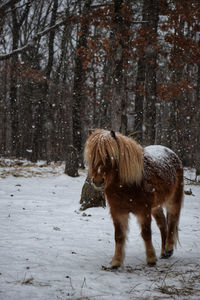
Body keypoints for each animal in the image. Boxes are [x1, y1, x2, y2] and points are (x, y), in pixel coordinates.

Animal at [83, 127, 184, 268]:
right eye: (91, 156)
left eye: (109, 155)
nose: (98, 181)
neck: (126, 186)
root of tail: (171, 152)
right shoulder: (118, 212)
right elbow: (119, 236)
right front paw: (116, 261)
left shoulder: (143, 210)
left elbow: (146, 233)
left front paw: (151, 259)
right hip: (156, 207)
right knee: (163, 225)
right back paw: (164, 252)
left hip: (173, 200)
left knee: (173, 221)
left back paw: (169, 248)